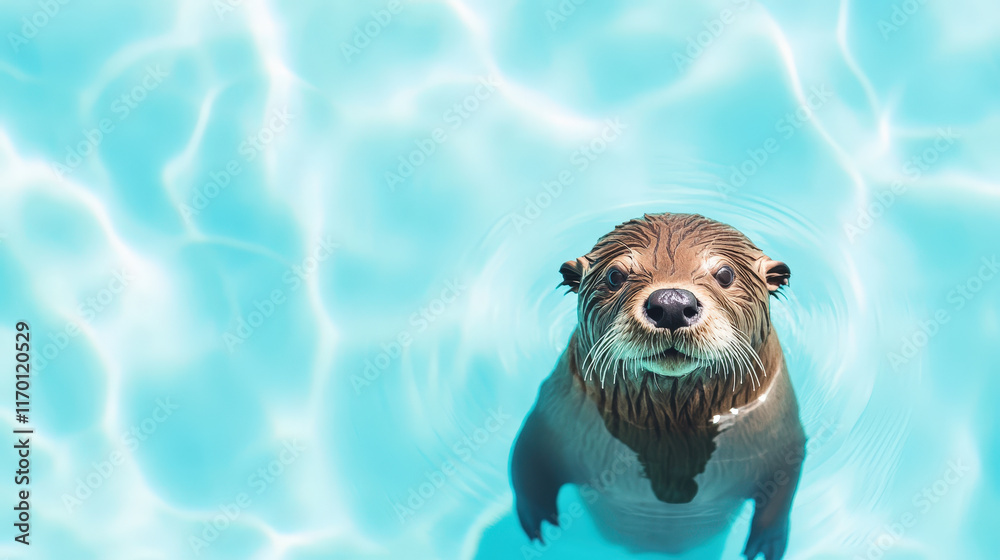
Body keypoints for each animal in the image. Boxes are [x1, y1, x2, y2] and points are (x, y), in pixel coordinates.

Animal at [510, 213, 805, 560]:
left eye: (725, 274)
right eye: (614, 276)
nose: (672, 303)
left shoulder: (783, 436)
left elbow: (784, 482)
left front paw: (766, 543)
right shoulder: (552, 419)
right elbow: (527, 454)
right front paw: (538, 521)